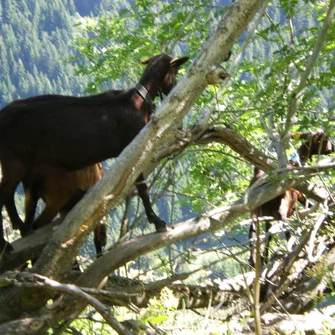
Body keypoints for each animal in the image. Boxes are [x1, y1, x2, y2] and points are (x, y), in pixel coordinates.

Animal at [0, 53, 189, 252]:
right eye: (175, 71)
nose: (172, 88)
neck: (135, 102)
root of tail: (2, 115)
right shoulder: (135, 148)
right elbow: (142, 187)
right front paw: (158, 222)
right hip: (15, 161)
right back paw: (6, 242)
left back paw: (20, 226)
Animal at [249, 132, 334, 268]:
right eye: (325, 140)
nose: (333, 148)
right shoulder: (299, 194)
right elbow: (309, 204)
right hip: (280, 208)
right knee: (284, 226)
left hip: (256, 213)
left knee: (254, 234)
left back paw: (256, 261)